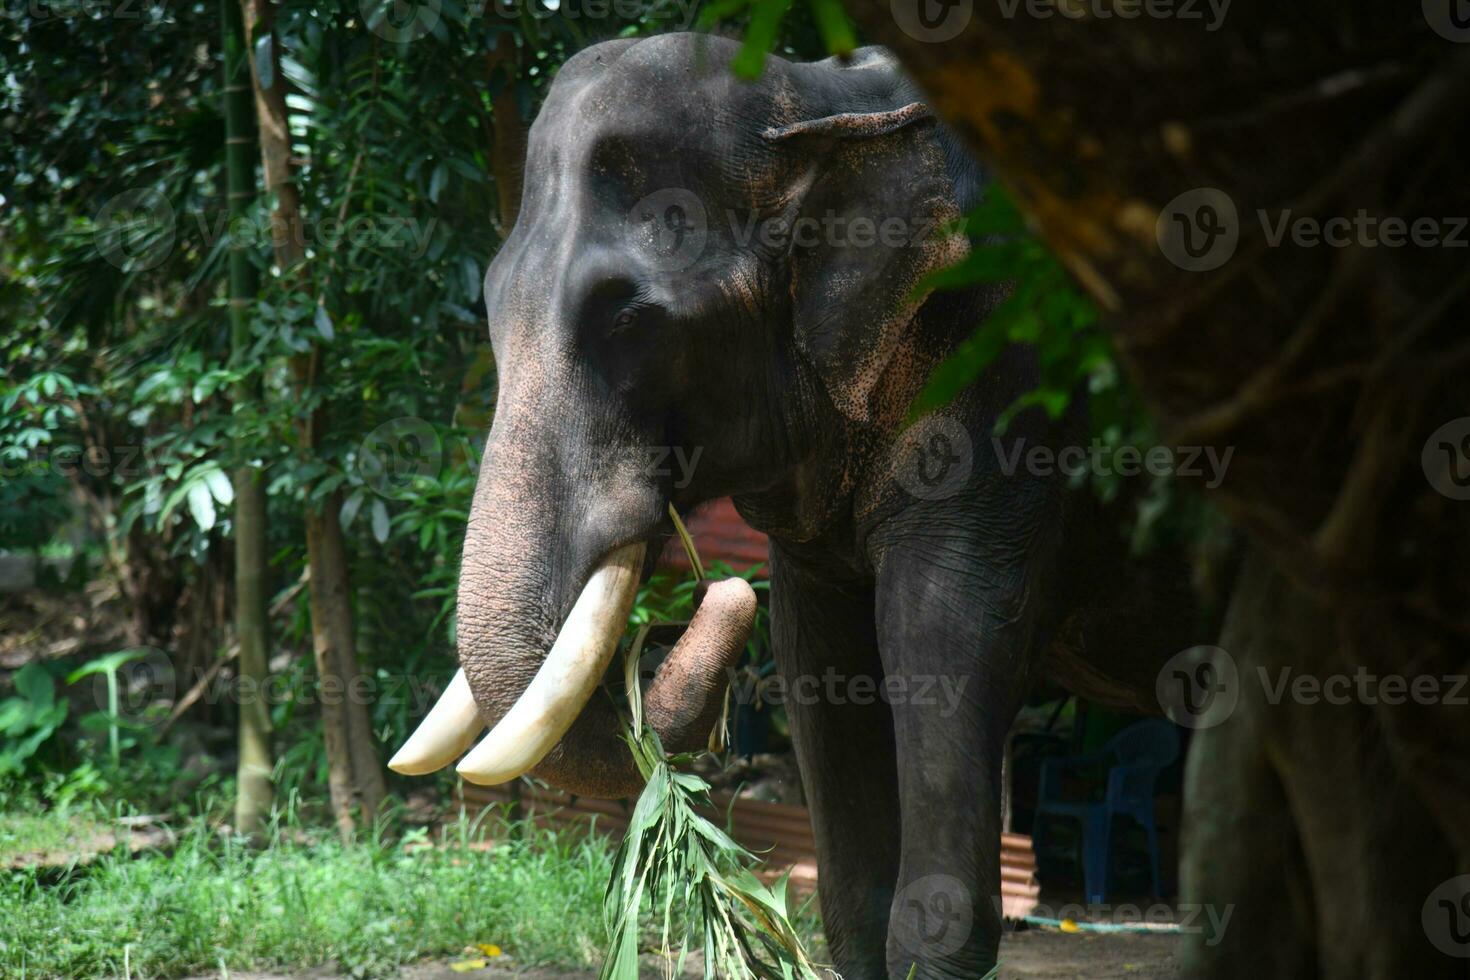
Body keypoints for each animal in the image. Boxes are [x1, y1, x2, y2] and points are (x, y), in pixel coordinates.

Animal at [391, 30, 1193, 980]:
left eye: (629, 322)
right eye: (488, 301)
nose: (718, 592)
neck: (816, 102)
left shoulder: (1008, 391)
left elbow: (944, 630)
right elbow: (819, 658)